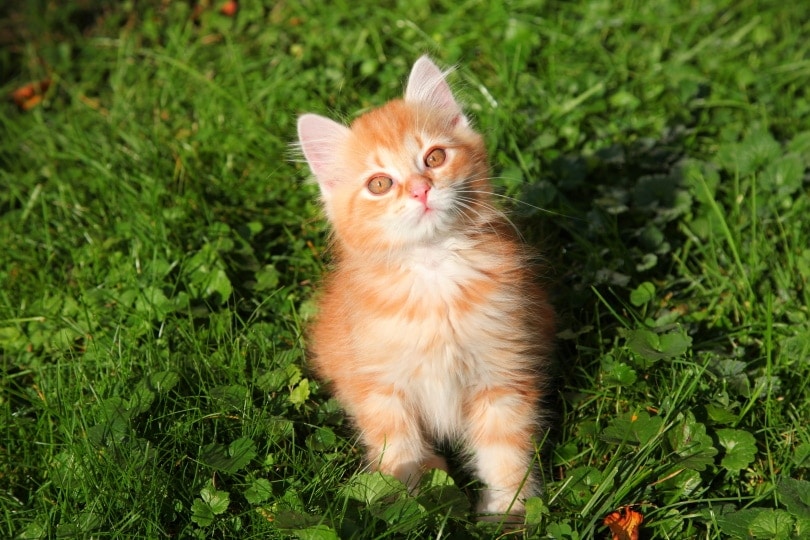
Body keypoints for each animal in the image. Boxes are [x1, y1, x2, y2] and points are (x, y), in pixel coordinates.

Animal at [296, 54, 556, 520]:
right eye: (379, 184)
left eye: (434, 157)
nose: (420, 189)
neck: (434, 274)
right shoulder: (381, 391)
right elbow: (400, 453)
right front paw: (406, 510)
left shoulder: (502, 373)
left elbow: (505, 450)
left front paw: (507, 509)